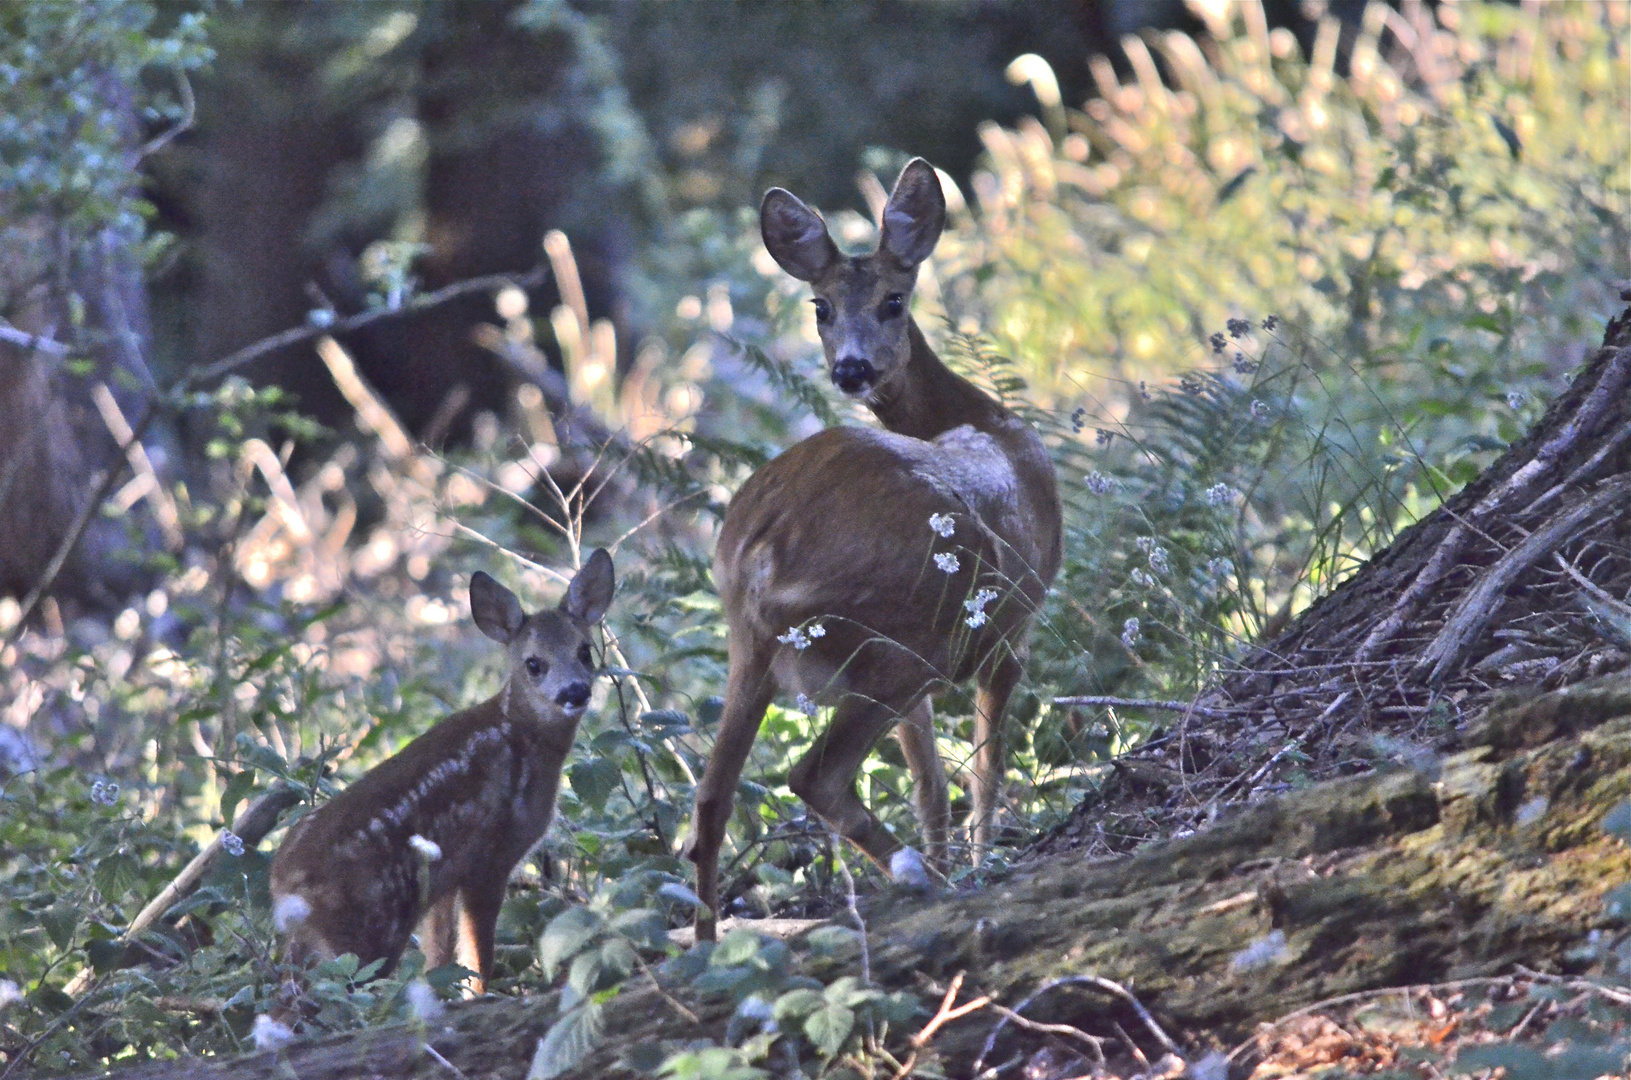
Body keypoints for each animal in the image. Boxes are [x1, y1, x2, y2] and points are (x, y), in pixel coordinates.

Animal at [270, 554, 613, 991]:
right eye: (534, 664)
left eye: (585, 651)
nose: (574, 692)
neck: (520, 735)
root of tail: (284, 889)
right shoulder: (490, 856)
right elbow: (478, 956)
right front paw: (480, 996)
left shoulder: (446, 878)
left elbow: (439, 955)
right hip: (365, 933)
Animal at [681, 159, 1063, 939]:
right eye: (820, 308)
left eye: (893, 300)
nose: (853, 370)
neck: (980, 420)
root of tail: (761, 544)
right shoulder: (1010, 632)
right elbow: (984, 768)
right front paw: (979, 863)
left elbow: (930, 780)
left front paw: (953, 862)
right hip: (903, 634)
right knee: (810, 774)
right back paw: (914, 875)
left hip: (755, 649)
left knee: (709, 799)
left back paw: (704, 944)